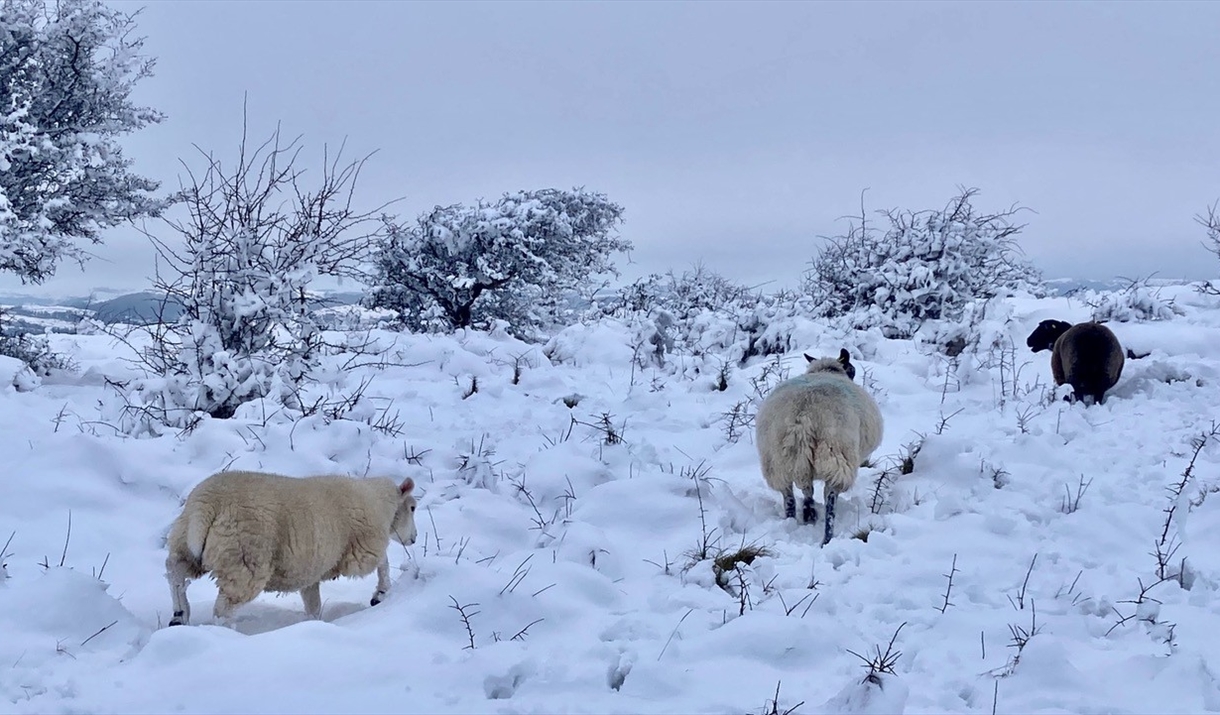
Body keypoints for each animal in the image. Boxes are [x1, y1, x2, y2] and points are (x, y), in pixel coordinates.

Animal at [165, 470, 418, 626]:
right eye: (413, 507)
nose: (414, 539)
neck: (379, 502)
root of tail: (207, 503)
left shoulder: (310, 568)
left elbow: (313, 603)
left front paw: (313, 624)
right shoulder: (361, 550)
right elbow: (383, 561)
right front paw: (381, 594)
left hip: (187, 545)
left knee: (174, 571)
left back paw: (179, 615)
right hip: (244, 559)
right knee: (223, 608)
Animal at [755, 349, 883, 545]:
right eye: (852, 369)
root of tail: (803, 415)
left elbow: (807, 489)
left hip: (777, 461)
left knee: (790, 495)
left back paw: (801, 516)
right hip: (836, 453)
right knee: (830, 498)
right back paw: (826, 538)